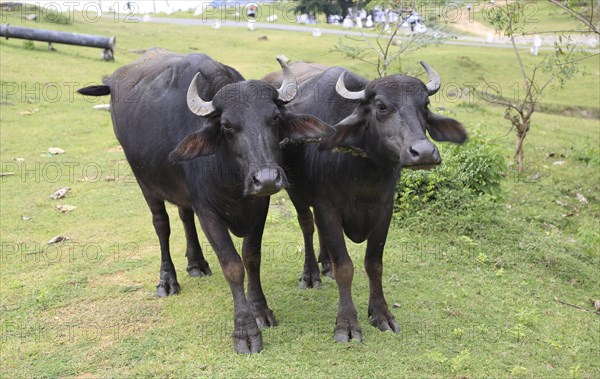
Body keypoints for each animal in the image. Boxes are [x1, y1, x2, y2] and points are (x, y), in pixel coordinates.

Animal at [78, 49, 332, 354]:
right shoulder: (208, 212)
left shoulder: (259, 207)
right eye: (226, 125)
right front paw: (245, 332)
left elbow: (251, 258)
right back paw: (167, 281)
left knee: (185, 217)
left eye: (274, 118)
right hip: (145, 183)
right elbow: (232, 265)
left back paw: (196, 263)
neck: (229, 175)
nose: (267, 179)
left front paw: (261, 311)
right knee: (162, 226)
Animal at [268, 63, 468, 344]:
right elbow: (345, 266)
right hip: (296, 192)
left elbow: (374, 264)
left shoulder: (384, 210)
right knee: (307, 225)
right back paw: (311, 274)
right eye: (381, 106)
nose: (424, 153)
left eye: (425, 104)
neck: (362, 171)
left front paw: (381, 313)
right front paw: (347, 323)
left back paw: (325, 263)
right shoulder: (327, 207)